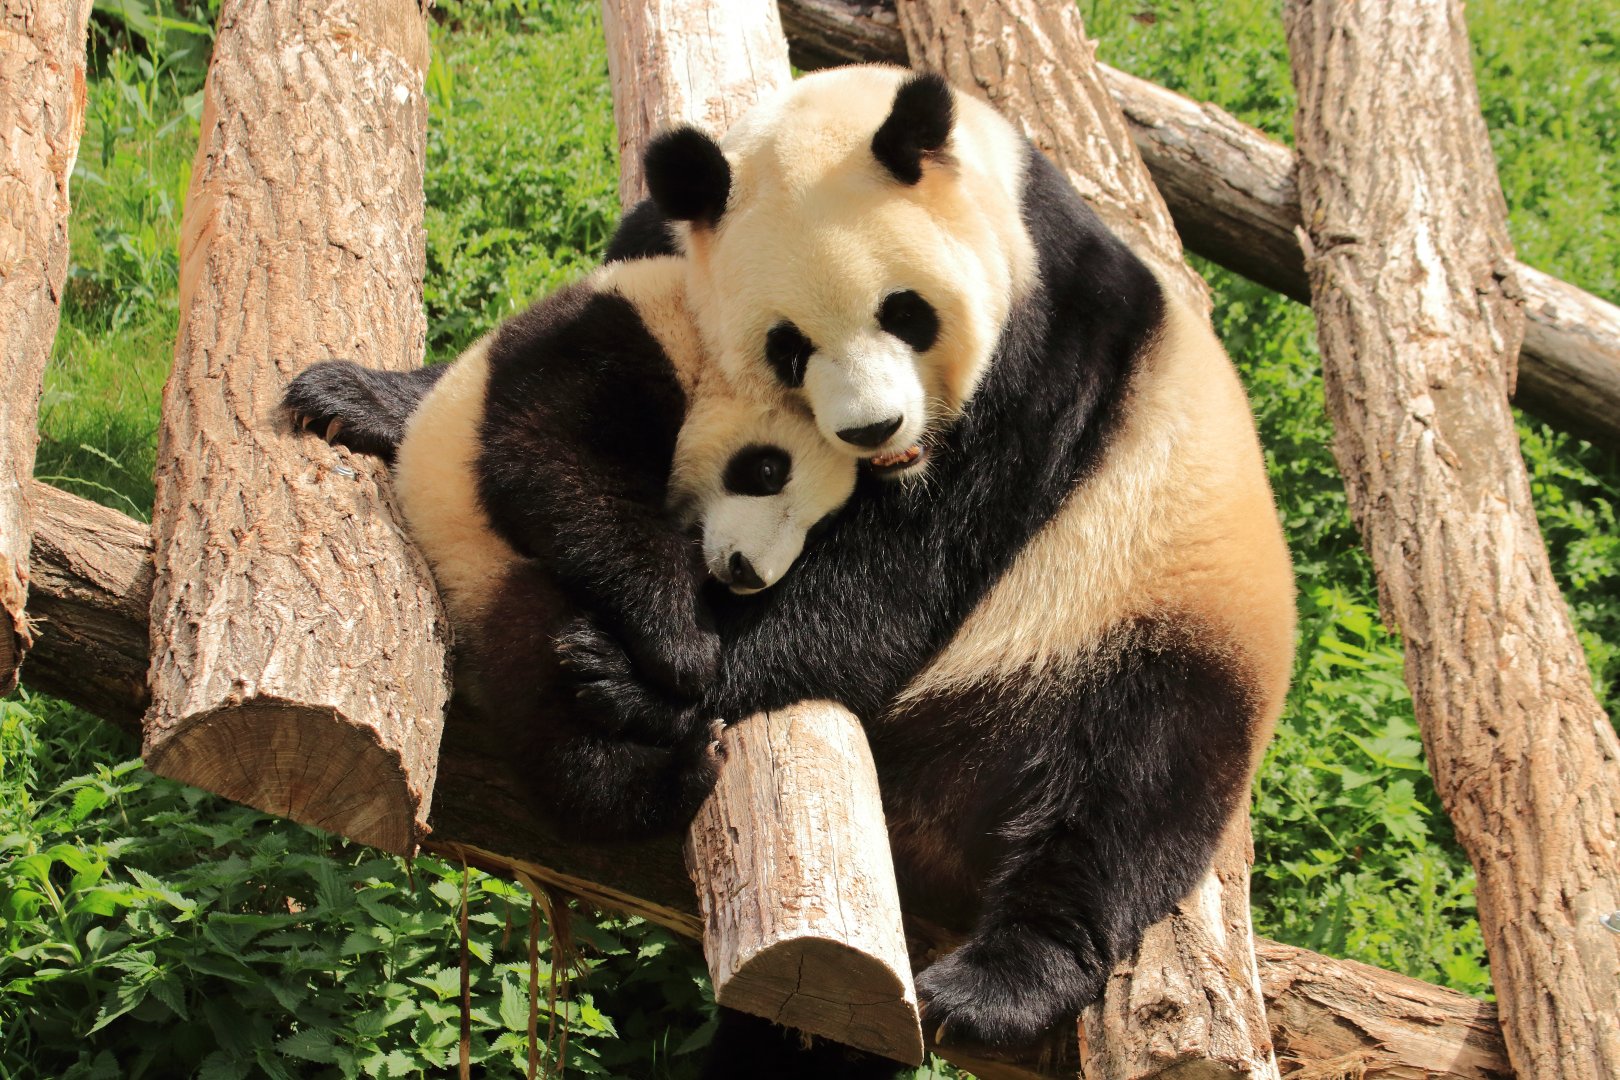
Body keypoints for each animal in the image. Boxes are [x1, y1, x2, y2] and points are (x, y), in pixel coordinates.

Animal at [283, 254, 856, 839]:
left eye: (822, 524)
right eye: (768, 469)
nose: (749, 573)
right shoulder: (599, 351)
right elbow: (553, 469)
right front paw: (687, 648)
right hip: (481, 568)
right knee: (546, 689)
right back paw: (665, 775)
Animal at [573, 65, 1297, 1068]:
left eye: (906, 313)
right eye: (787, 345)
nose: (873, 428)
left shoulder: (1045, 367)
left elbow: (896, 585)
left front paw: (635, 670)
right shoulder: (663, 256)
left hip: (1154, 612)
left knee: (1131, 783)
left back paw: (997, 985)